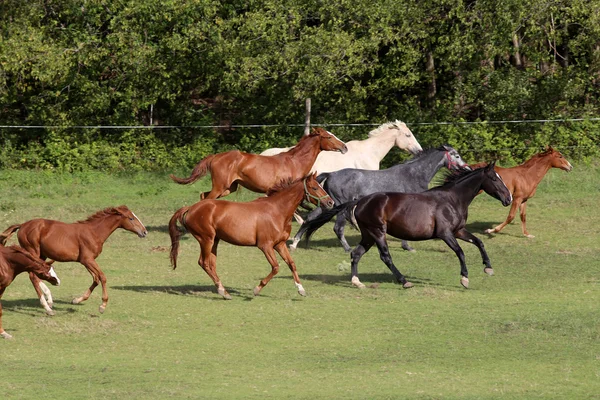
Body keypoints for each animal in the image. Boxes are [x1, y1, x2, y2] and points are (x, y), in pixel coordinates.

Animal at [0, 206, 149, 316]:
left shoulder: (86, 261)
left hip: (41, 255)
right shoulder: (87, 260)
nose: (144, 232)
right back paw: (47, 306)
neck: (94, 232)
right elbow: (102, 277)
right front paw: (102, 305)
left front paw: (77, 300)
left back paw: (49, 300)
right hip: (33, 251)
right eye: (131, 218)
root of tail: (22, 225)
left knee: (36, 274)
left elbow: (95, 279)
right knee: (32, 275)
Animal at [169, 127, 346, 199]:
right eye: (328, 137)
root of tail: (215, 157)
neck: (294, 162)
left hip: (229, 188)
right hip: (220, 187)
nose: (344, 147)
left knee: (203, 195)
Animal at [169, 173, 336, 298]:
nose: (331, 203)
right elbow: (276, 267)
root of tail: (191, 208)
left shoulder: (280, 244)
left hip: (215, 240)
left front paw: (301, 290)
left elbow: (291, 264)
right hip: (206, 239)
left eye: (321, 186)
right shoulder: (265, 246)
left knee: (211, 264)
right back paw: (224, 292)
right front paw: (256, 289)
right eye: (315, 187)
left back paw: (222, 290)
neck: (277, 211)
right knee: (203, 262)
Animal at [288, 145, 472, 252]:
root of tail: (331, 174)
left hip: (327, 204)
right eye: (456, 155)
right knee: (337, 228)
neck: (414, 174)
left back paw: (295, 243)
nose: (468, 168)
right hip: (339, 206)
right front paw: (408, 246)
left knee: (310, 218)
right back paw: (347, 249)